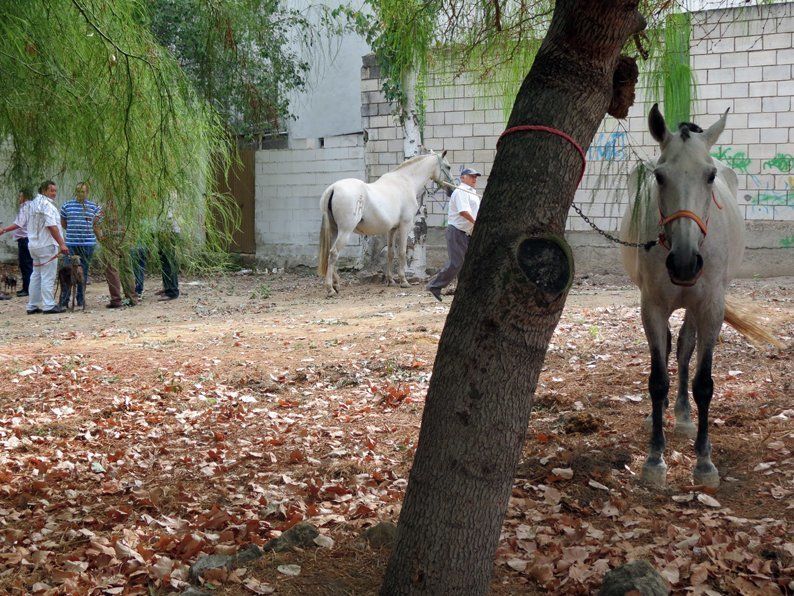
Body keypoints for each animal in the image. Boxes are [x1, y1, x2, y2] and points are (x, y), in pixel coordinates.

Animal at [316, 151, 452, 296]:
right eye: (448, 167)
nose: (451, 190)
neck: (406, 182)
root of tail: (333, 188)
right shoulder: (405, 226)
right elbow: (402, 252)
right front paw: (403, 281)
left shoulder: (392, 229)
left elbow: (390, 253)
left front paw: (390, 280)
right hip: (344, 232)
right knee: (333, 254)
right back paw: (330, 288)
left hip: (335, 231)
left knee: (329, 253)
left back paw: (336, 284)